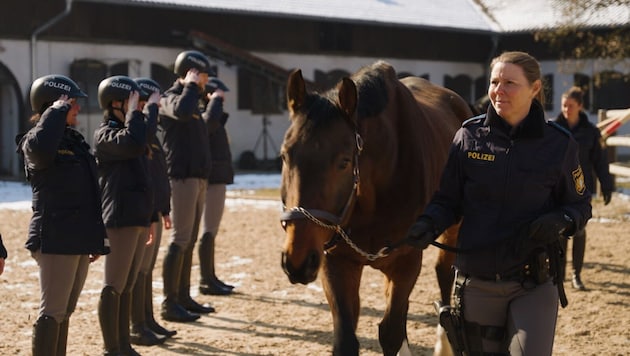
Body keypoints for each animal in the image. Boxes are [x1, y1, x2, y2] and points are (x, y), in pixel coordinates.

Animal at [278, 62, 472, 356]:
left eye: (344, 162)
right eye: (285, 155)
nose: (298, 259)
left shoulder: (407, 262)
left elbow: (390, 332)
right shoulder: (337, 262)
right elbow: (347, 339)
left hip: (453, 229)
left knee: (443, 272)